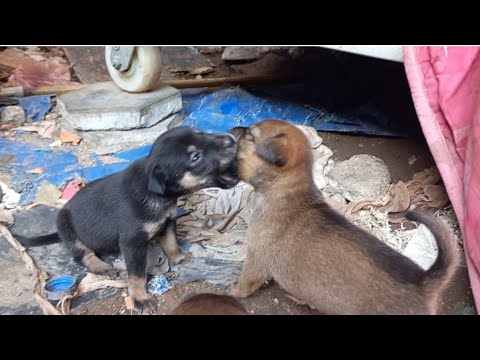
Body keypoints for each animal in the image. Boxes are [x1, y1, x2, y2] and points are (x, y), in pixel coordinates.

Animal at [57, 126, 237, 312]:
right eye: (195, 157)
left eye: (201, 133)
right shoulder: (132, 243)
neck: (157, 192)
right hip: (65, 226)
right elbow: (137, 275)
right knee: (82, 254)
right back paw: (102, 267)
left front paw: (179, 257)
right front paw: (141, 299)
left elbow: (171, 243)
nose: (231, 139)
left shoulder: (167, 222)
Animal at [229, 119, 462, 314]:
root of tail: (424, 284)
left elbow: (246, 282)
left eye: (250, 136)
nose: (233, 129)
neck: (285, 191)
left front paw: (233, 290)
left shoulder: (255, 257)